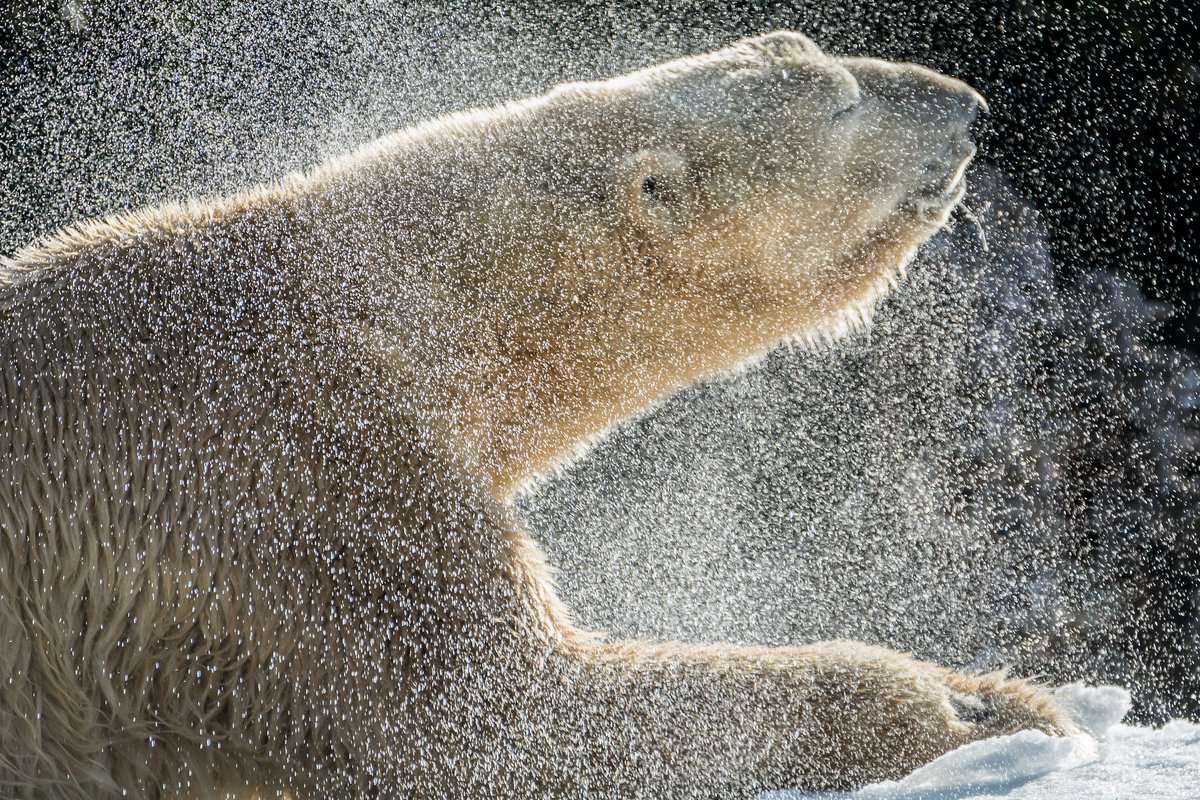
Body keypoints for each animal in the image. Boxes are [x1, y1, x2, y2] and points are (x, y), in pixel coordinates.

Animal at [0, 31, 1070, 800]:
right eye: (843, 99)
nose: (972, 108)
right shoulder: (293, 488)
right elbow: (506, 720)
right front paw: (971, 710)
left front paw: (987, 694)